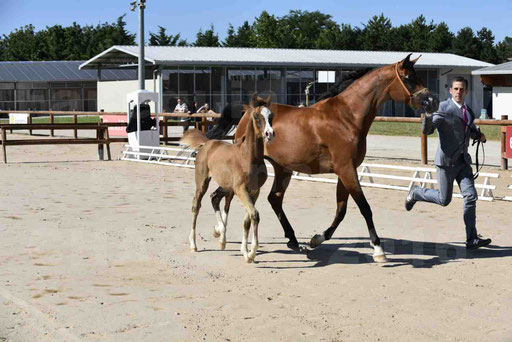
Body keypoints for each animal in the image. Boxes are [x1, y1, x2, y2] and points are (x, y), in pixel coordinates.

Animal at [181, 93, 274, 264]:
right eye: (256, 116)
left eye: (271, 116)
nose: (269, 134)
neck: (249, 157)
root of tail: (206, 144)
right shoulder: (241, 189)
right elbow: (255, 215)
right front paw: (251, 253)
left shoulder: (254, 191)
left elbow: (248, 219)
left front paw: (245, 252)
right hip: (203, 182)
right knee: (196, 205)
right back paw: (194, 244)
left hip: (226, 186)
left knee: (214, 198)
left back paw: (221, 235)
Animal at [206, 54, 438, 262]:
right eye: (408, 77)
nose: (431, 100)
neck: (346, 117)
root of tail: (248, 111)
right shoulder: (346, 170)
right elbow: (364, 207)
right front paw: (378, 249)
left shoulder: (346, 171)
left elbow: (341, 210)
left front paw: (317, 239)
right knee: (223, 196)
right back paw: (221, 233)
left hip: (283, 169)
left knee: (273, 199)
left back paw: (292, 241)